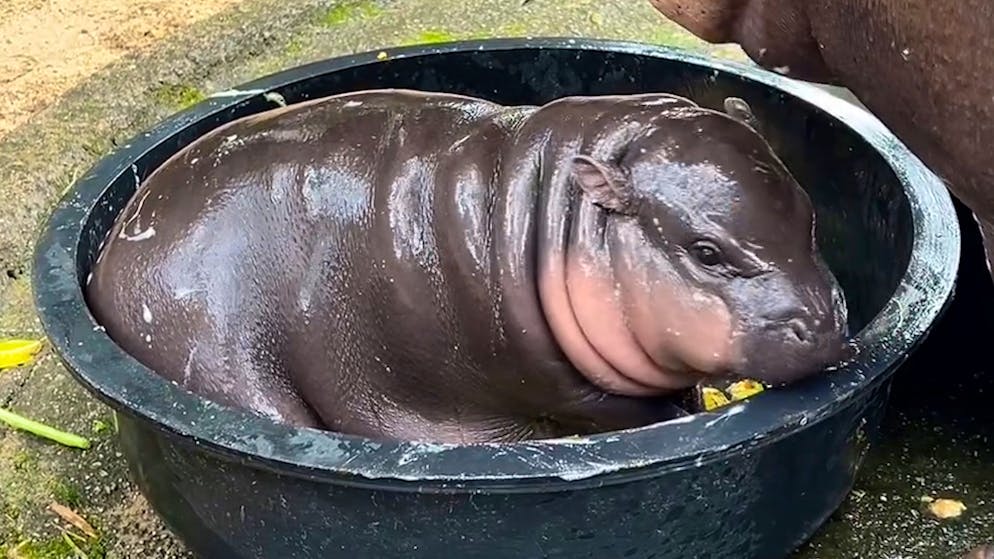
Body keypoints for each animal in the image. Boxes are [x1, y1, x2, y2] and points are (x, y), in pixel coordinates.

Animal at [85, 88, 849, 443]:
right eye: (706, 250)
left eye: (808, 212)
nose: (822, 322)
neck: (543, 214)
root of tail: (108, 257)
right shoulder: (570, 389)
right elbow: (645, 408)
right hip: (224, 361)